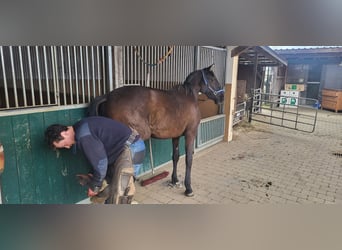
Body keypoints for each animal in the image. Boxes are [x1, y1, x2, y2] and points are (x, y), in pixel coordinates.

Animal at [89, 65, 226, 197]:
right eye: (212, 79)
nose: (222, 97)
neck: (188, 97)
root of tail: (108, 96)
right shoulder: (190, 134)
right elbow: (189, 159)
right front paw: (188, 188)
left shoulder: (175, 136)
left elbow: (175, 156)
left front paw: (174, 180)